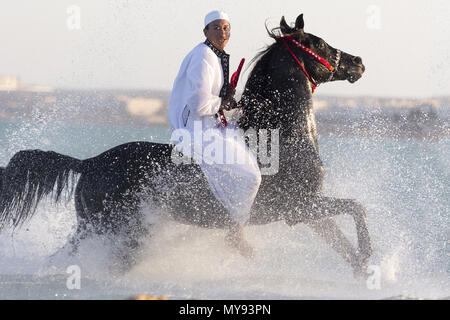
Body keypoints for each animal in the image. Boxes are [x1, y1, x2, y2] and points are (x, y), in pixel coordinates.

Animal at [0, 13, 370, 276]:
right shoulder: (297, 206)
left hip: (103, 228)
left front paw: (362, 267)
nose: (358, 62)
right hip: (113, 227)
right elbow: (356, 207)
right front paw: (368, 255)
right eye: (318, 43)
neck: (279, 137)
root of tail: (89, 162)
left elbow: (340, 237)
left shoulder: (306, 209)